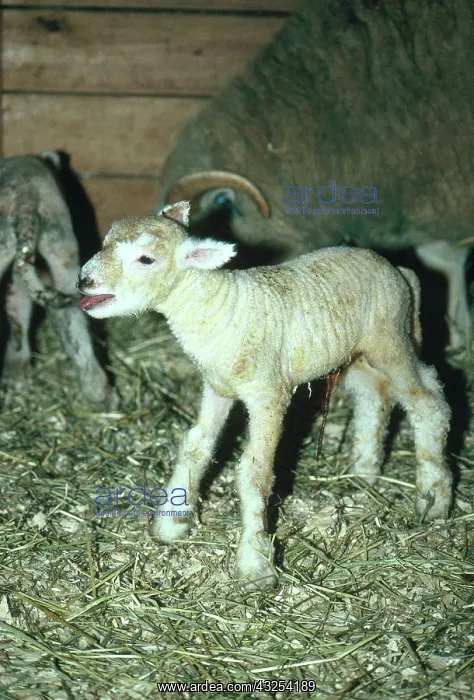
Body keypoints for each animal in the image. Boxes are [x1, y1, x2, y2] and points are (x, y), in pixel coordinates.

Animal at [78, 200, 452, 589]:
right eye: (104, 242)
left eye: (146, 259)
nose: (84, 281)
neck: (217, 306)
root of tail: (400, 270)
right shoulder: (217, 387)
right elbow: (196, 446)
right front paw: (171, 523)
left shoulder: (269, 395)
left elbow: (254, 473)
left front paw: (254, 565)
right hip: (354, 354)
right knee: (374, 395)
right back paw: (364, 470)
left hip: (390, 338)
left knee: (427, 402)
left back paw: (433, 498)